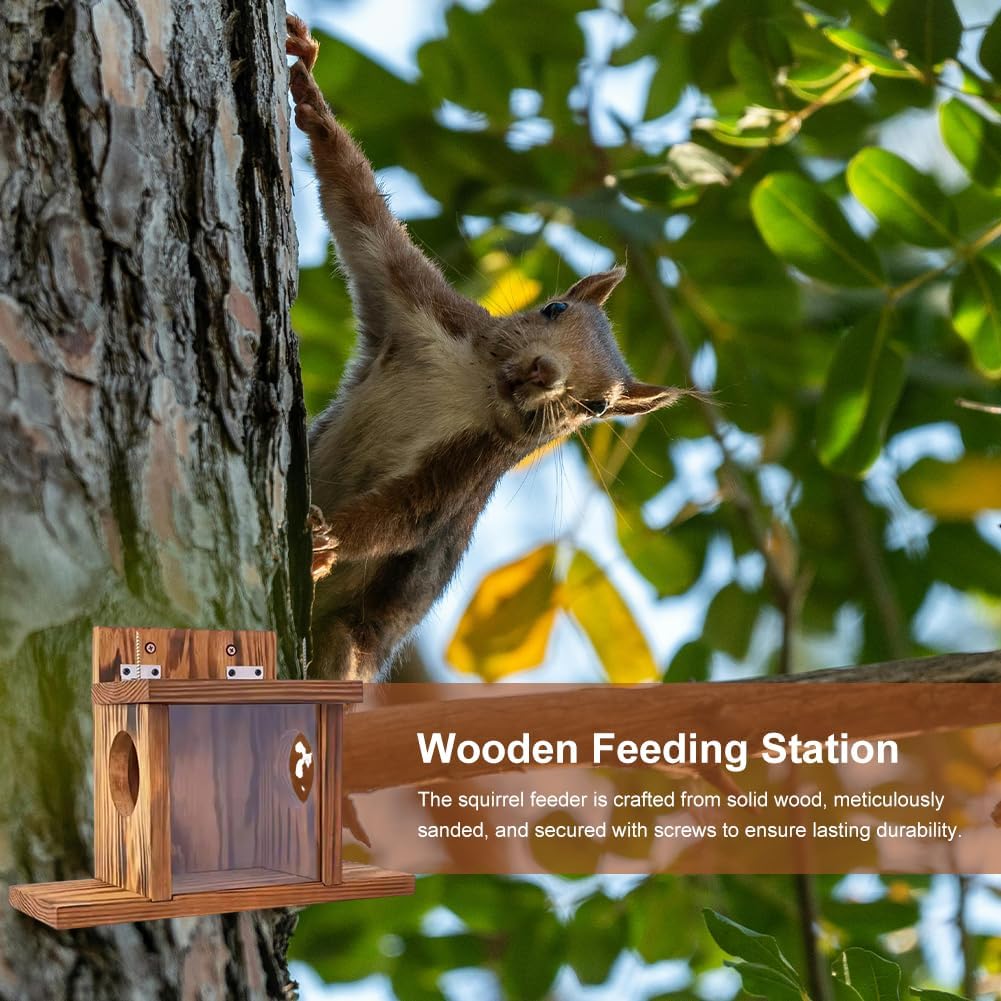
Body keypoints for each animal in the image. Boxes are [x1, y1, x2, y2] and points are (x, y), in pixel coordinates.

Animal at [286, 15, 686, 680]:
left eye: (598, 407)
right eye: (554, 309)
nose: (545, 372)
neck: (475, 384)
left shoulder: (472, 466)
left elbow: (411, 515)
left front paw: (328, 541)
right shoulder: (416, 306)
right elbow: (356, 206)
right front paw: (310, 91)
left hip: (350, 642)